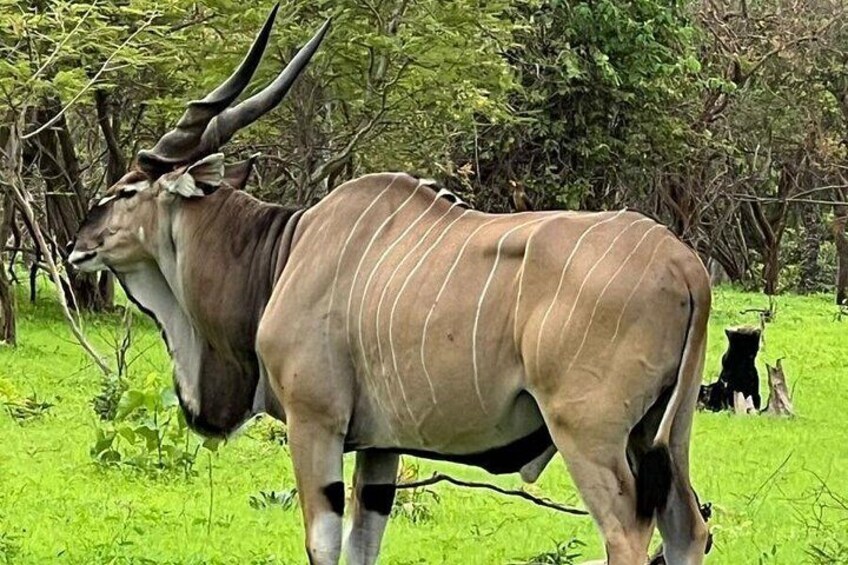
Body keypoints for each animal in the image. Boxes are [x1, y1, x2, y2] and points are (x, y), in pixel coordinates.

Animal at [69, 6, 712, 564]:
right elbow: (364, 545)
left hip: (590, 435)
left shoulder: (316, 423)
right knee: (688, 529)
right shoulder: (382, 448)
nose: (79, 244)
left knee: (626, 533)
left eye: (127, 191)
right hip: (667, 432)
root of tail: (685, 267)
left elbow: (323, 543)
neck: (281, 253)